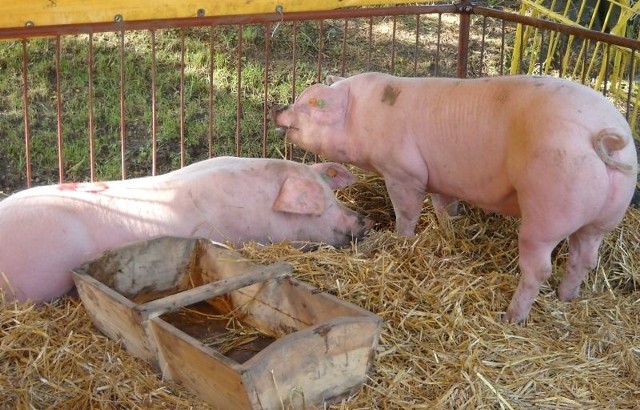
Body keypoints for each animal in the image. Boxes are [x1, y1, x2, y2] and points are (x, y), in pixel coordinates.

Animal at [272, 73, 636, 324]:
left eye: (311, 103)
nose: (278, 109)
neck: (362, 116)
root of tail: (605, 134)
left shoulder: (403, 173)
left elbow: (406, 212)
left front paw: (401, 239)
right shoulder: (440, 179)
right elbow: (443, 208)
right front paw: (447, 230)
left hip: (548, 210)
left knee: (539, 269)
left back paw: (511, 318)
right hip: (605, 217)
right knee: (585, 258)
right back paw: (566, 298)